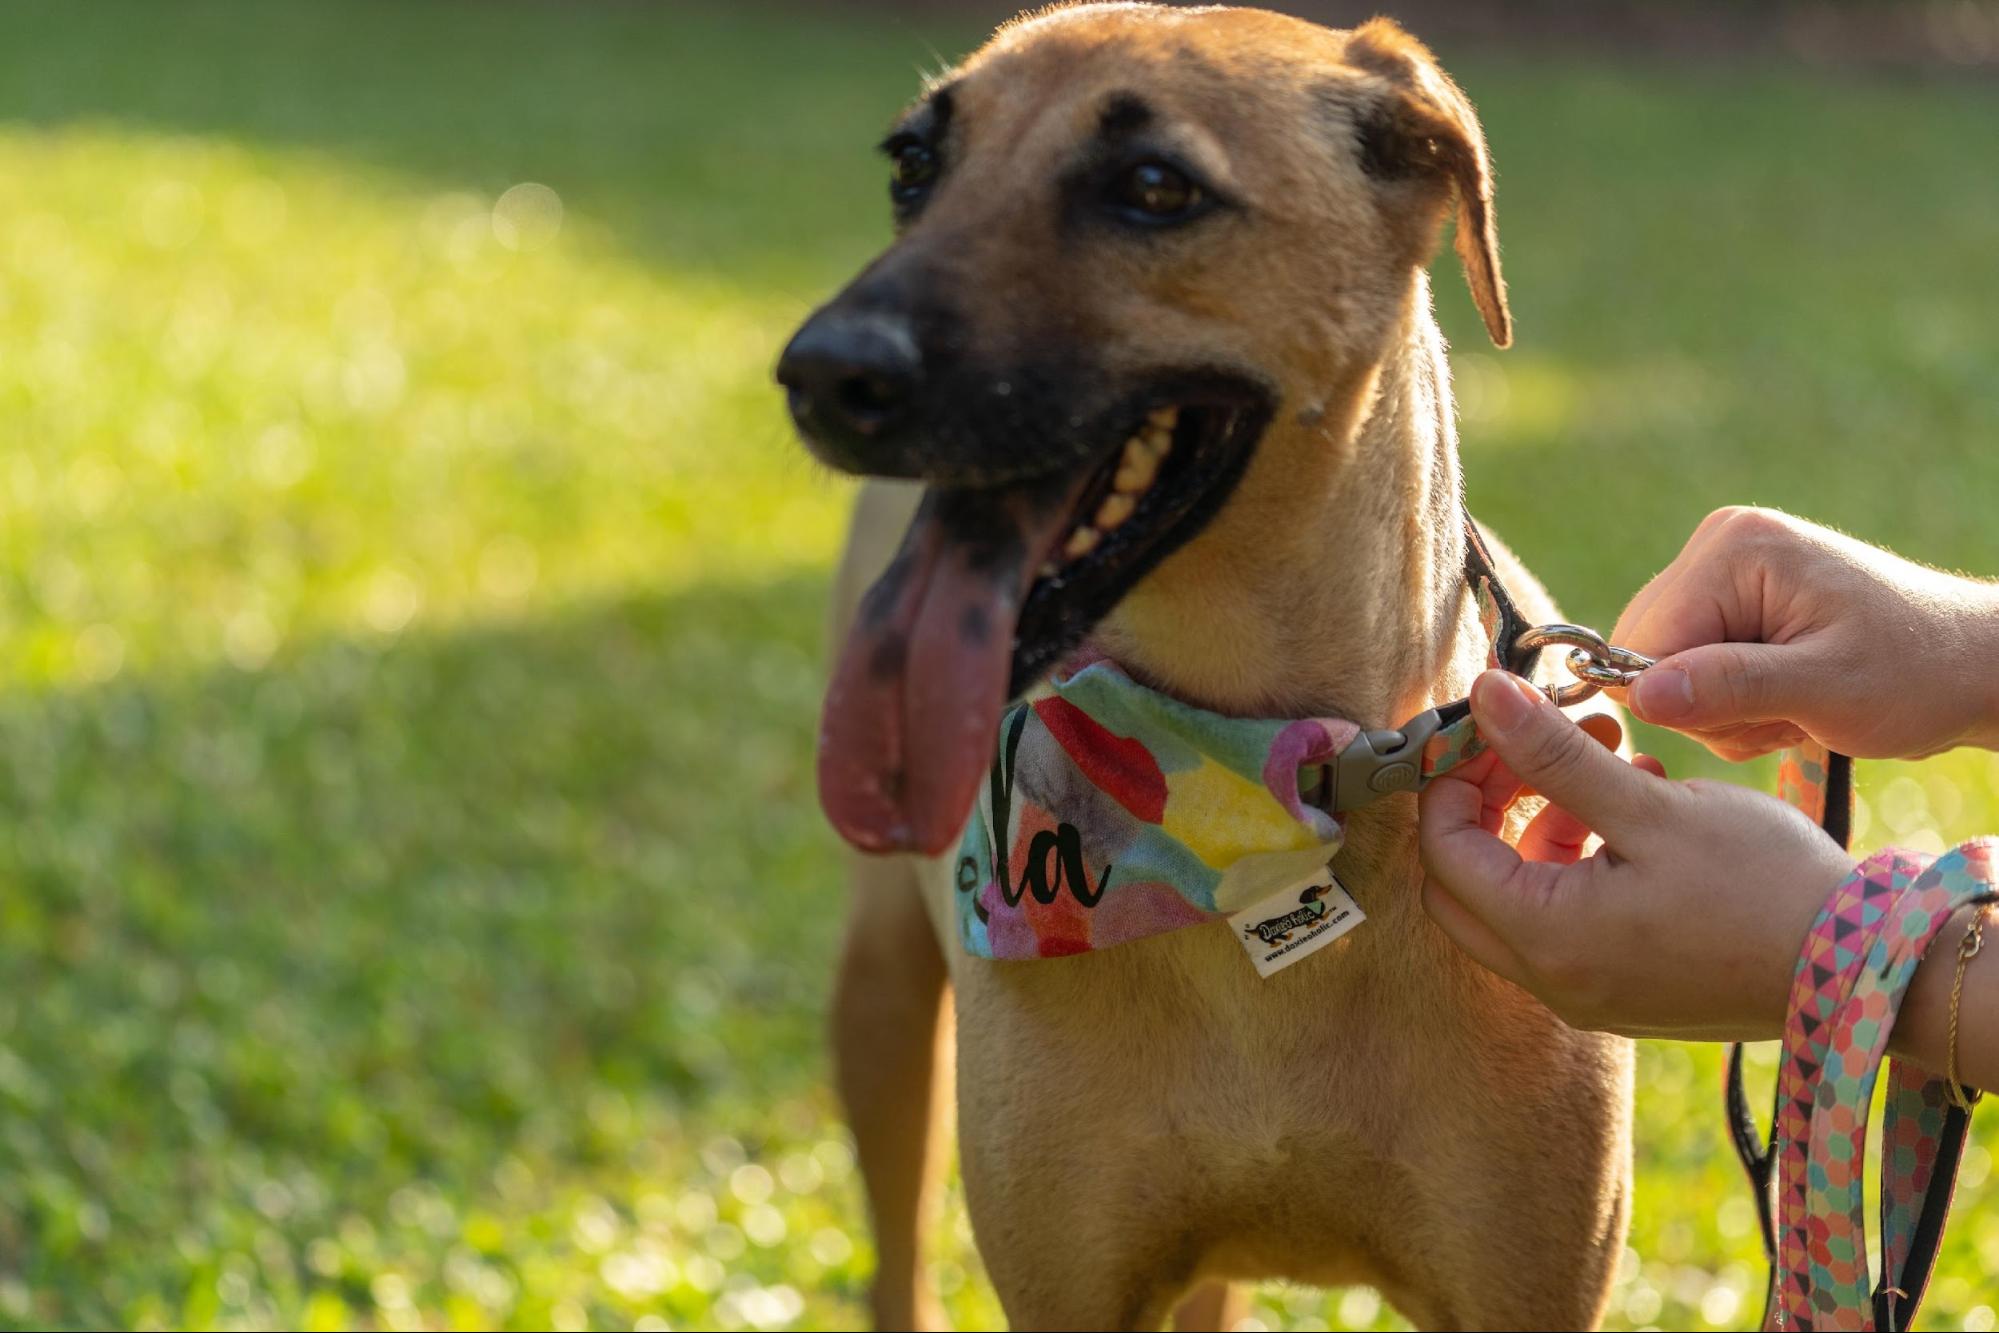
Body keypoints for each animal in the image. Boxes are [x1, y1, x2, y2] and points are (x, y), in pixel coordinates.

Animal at [771, 7, 1631, 1327]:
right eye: (912, 166)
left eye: (1152, 187)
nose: (820, 371)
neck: (1270, 784)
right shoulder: (1070, 1281)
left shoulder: (1523, 1283)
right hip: (881, 997)